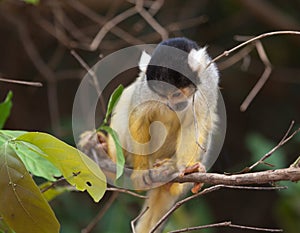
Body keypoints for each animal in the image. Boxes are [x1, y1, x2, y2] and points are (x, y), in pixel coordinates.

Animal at [106, 37, 219, 232]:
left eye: (176, 94)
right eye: (163, 96)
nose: (171, 105)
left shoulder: (208, 83)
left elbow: (195, 123)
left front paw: (187, 168)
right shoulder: (147, 88)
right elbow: (139, 116)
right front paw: (141, 171)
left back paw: (172, 173)